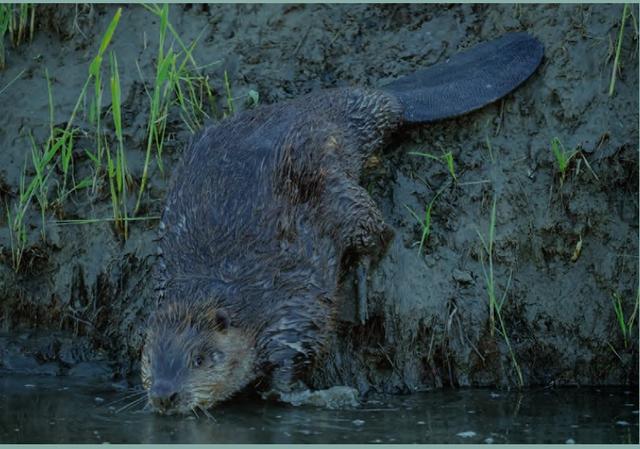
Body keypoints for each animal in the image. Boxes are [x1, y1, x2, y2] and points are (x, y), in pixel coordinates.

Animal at [141, 33, 544, 414]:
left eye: (199, 358)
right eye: (149, 358)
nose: (164, 395)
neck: (225, 291)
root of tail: (389, 100)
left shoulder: (290, 307)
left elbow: (296, 361)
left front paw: (332, 395)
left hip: (342, 194)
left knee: (379, 232)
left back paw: (361, 288)